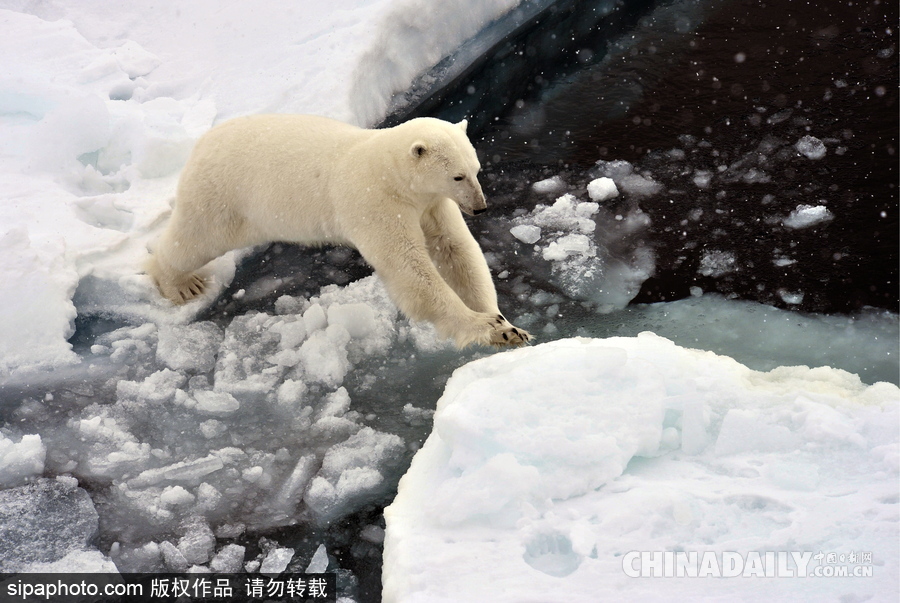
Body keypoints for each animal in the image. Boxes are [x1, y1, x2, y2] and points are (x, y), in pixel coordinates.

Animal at [144, 115, 532, 350]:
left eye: (476, 169)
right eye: (457, 176)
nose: (480, 207)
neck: (388, 172)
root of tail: (201, 143)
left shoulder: (431, 204)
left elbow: (456, 252)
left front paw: (507, 322)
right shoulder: (375, 204)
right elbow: (410, 270)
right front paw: (489, 328)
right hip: (225, 196)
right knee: (195, 237)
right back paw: (181, 283)